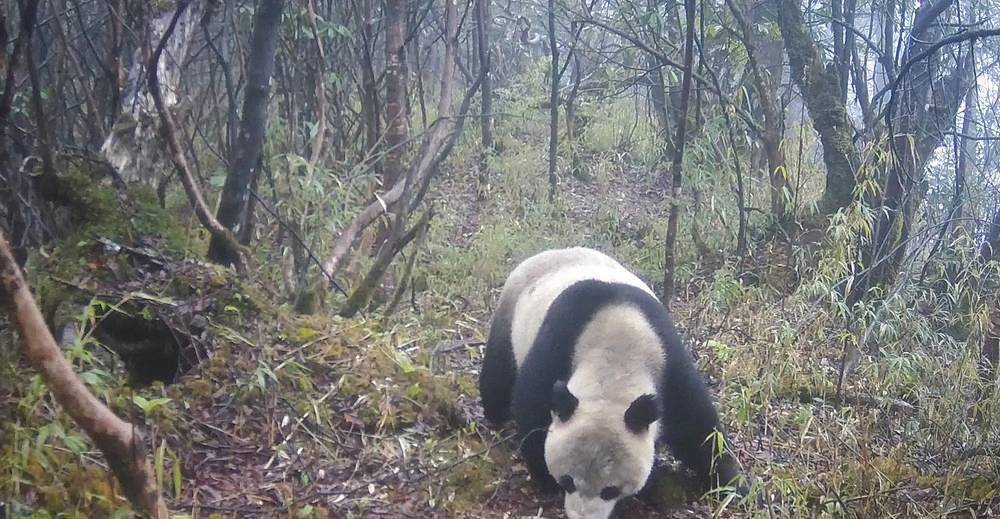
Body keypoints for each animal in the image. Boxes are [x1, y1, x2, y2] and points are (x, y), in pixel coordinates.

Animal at [476, 248, 744, 519]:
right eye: (568, 481)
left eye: (610, 490)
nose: (582, 517)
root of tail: (550, 252)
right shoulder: (560, 340)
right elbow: (533, 405)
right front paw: (545, 476)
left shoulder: (668, 358)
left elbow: (699, 428)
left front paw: (733, 485)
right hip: (511, 311)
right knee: (499, 374)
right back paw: (497, 412)